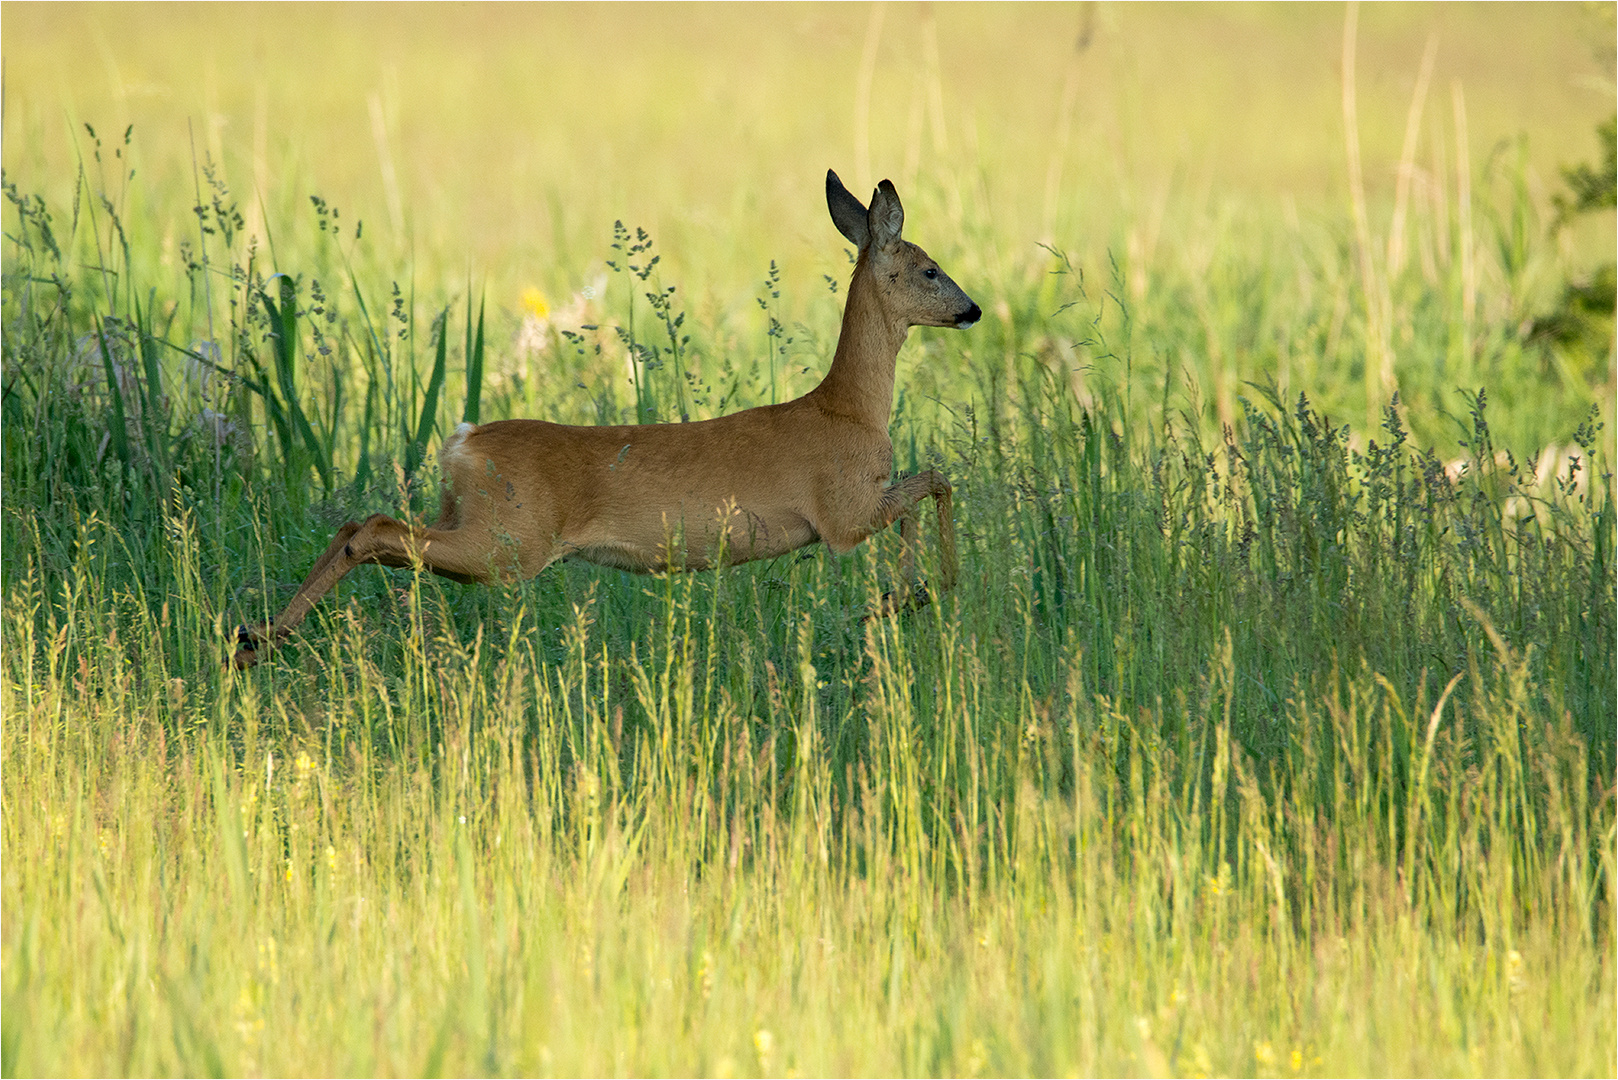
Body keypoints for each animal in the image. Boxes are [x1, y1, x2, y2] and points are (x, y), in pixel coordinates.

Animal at [234, 170, 977, 670]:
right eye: (930, 270)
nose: (971, 309)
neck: (849, 408)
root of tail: (462, 442)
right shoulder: (841, 513)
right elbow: (937, 479)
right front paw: (923, 591)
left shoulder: (853, 511)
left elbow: (925, 490)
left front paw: (903, 596)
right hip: (510, 542)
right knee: (375, 530)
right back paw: (261, 639)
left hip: (469, 519)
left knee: (359, 524)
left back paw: (254, 636)